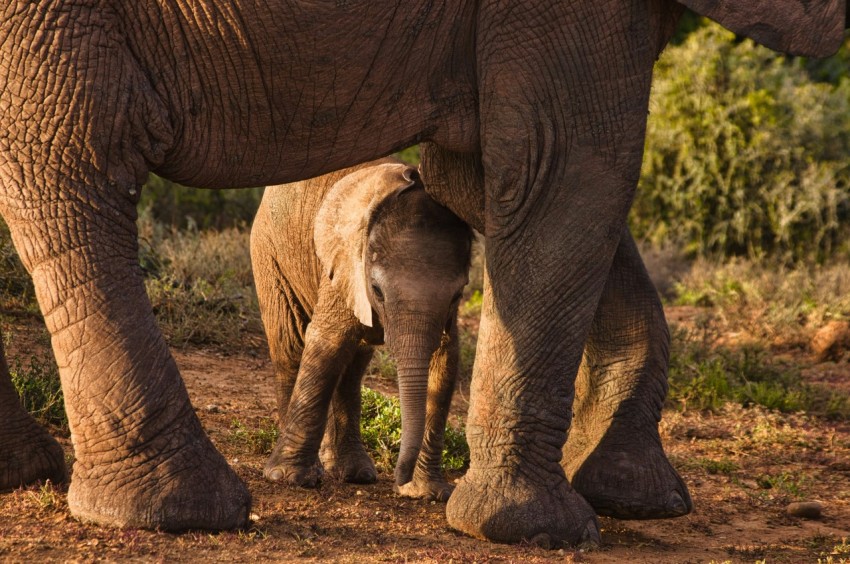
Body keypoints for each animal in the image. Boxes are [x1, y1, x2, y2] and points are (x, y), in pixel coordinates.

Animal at [250, 158, 471, 502]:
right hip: (268, 253)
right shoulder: (345, 267)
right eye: (377, 290)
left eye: (458, 294)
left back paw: (354, 473)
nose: (399, 480)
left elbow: (446, 360)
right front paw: (290, 479)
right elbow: (326, 342)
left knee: (352, 367)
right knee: (289, 348)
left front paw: (428, 493)